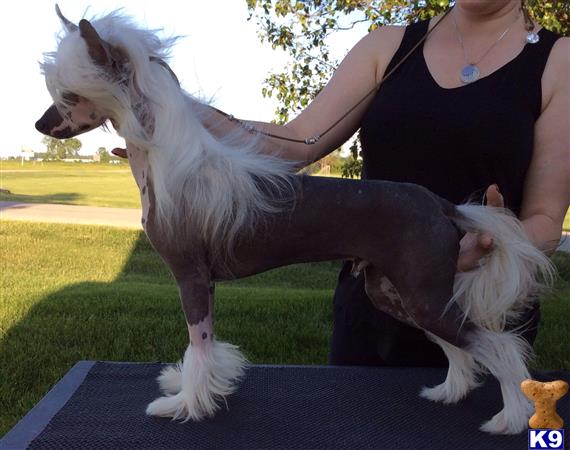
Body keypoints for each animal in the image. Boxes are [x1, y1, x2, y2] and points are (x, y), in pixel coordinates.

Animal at [34, 7, 552, 434]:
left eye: (69, 95)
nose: (40, 125)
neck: (170, 162)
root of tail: (442, 204)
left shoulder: (190, 277)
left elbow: (199, 343)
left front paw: (186, 403)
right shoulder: (208, 282)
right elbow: (206, 346)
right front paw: (191, 386)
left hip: (422, 293)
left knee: (499, 347)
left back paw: (510, 417)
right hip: (395, 291)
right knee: (460, 346)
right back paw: (449, 391)